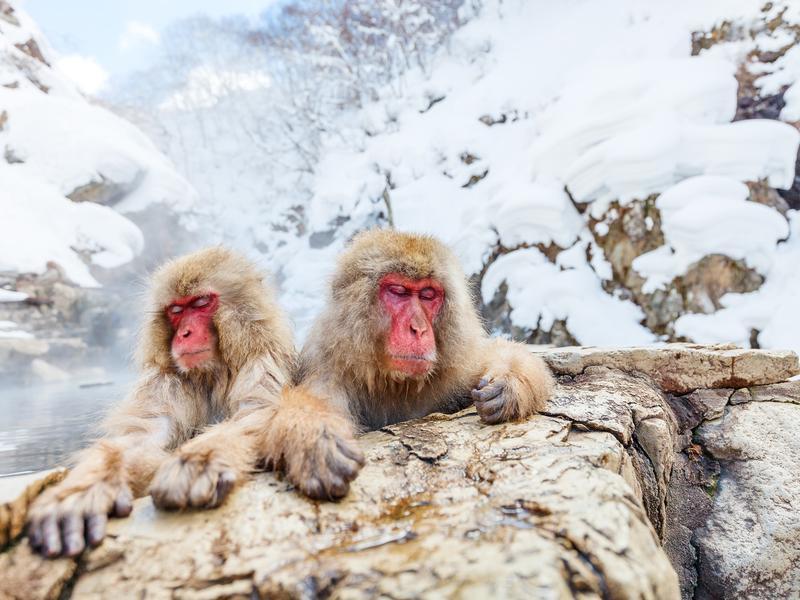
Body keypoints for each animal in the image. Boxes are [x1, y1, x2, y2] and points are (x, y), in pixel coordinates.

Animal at [26, 247, 295, 558]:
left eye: (201, 303)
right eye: (176, 311)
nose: (185, 334)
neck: (212, 373)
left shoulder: (262, 362)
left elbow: (255, 414)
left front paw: (198, 461)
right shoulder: (165, 379)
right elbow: (144, 437)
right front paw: (82, 490)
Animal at [261, 229, 554, 501]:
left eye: (427, 295)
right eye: (399, 292)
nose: (419, 329)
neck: (395, 382)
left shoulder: (457, 368)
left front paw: (508, 383)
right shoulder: (328, 375)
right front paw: (315, 438)